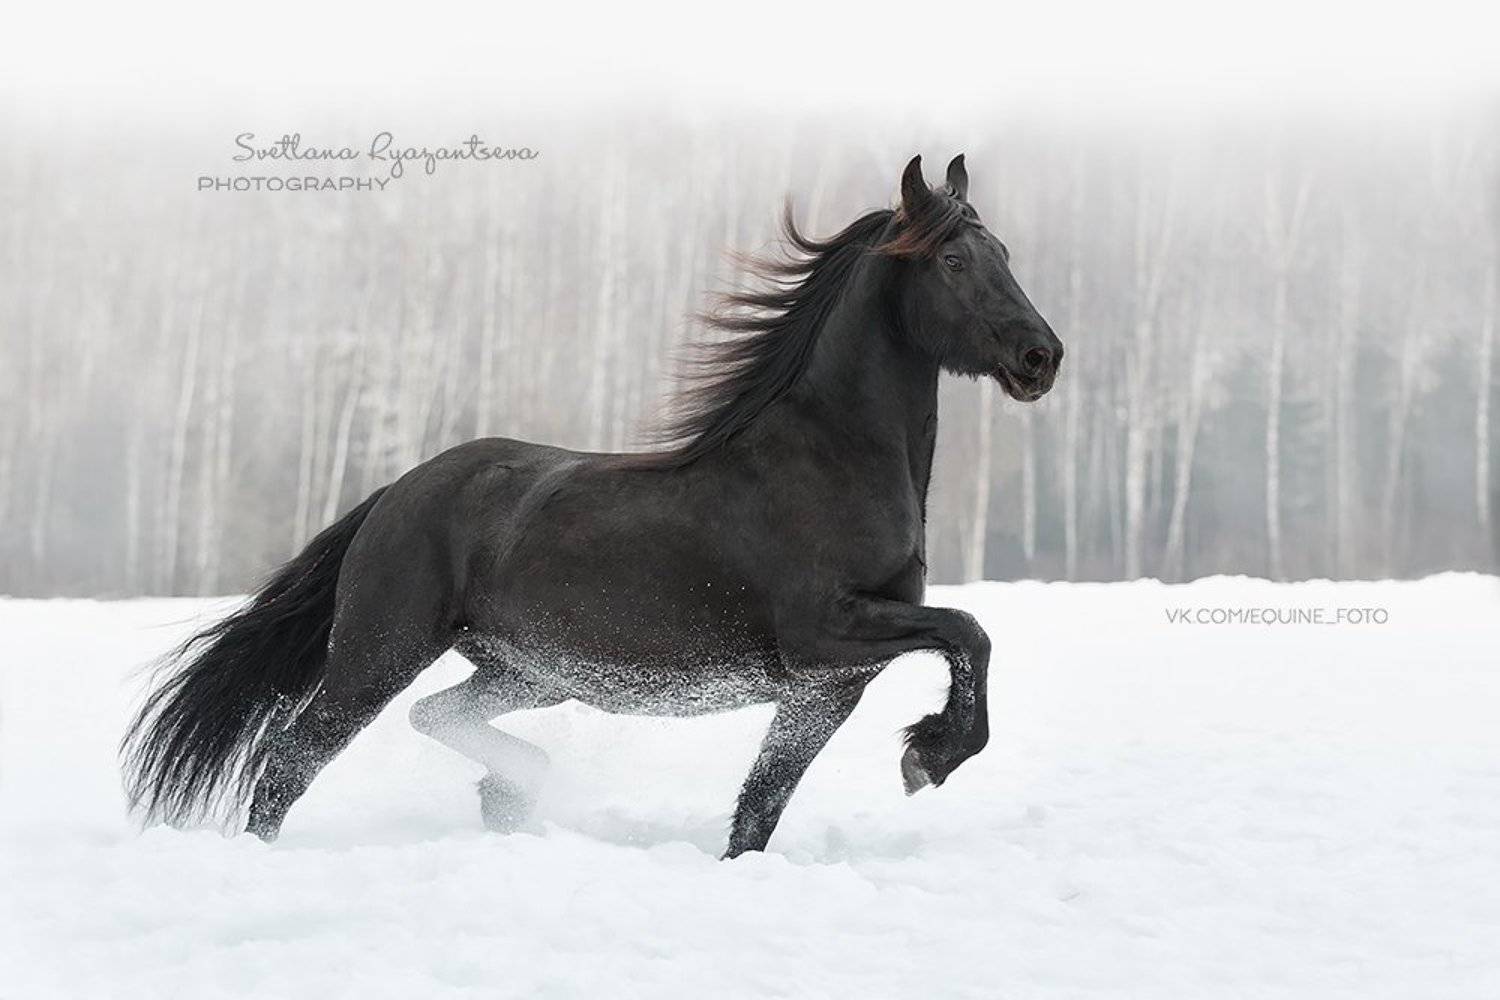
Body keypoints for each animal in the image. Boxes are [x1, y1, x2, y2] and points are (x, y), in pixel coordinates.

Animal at [121, 154, 1063, 858]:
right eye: (953, 261)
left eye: (1009, 256)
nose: (1040, 356)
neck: (829, 461)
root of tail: (399, 490)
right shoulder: (822, 637)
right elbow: (969, 631)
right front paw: (931, 756)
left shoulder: (831, 686)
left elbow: (760, 809)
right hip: (378, 653)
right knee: (291, 758)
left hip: (525, 671)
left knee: (438, 716)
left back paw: (510, 792)